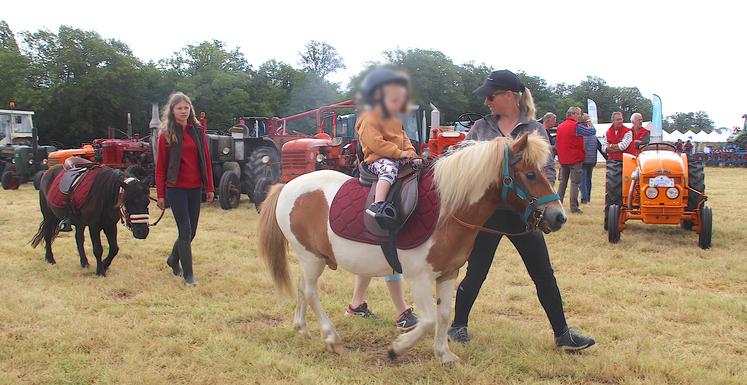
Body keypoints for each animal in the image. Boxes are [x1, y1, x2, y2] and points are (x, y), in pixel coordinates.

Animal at [258, 133, 568, 364]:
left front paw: (444, 354)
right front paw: (397, 348)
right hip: (311, 258)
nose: (558, 216)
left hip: (312, 258)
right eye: (530, 174)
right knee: (311, 292)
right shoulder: (418, 277)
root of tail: (287, 186)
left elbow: (444, 315)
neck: (446, 210)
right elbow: (429, 320)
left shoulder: (448, 274)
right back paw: (331, 338)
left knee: (302, 288)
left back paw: (302, 328)